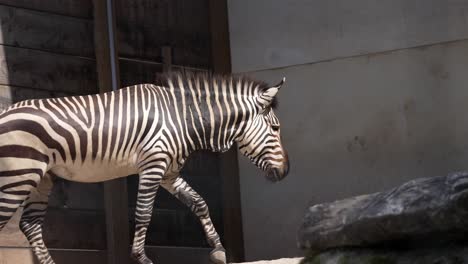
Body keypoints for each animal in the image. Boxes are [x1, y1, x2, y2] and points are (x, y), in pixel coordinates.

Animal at [0, 72, 288, 264]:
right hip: (20, 175)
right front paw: (141, 258)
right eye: (275, 128)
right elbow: (143, 213)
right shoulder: (153, 163)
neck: (182, 118)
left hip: (42, 177)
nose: (285, 172)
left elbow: (199, 202)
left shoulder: (169, 172)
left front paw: (217, 249)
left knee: (30, 224)